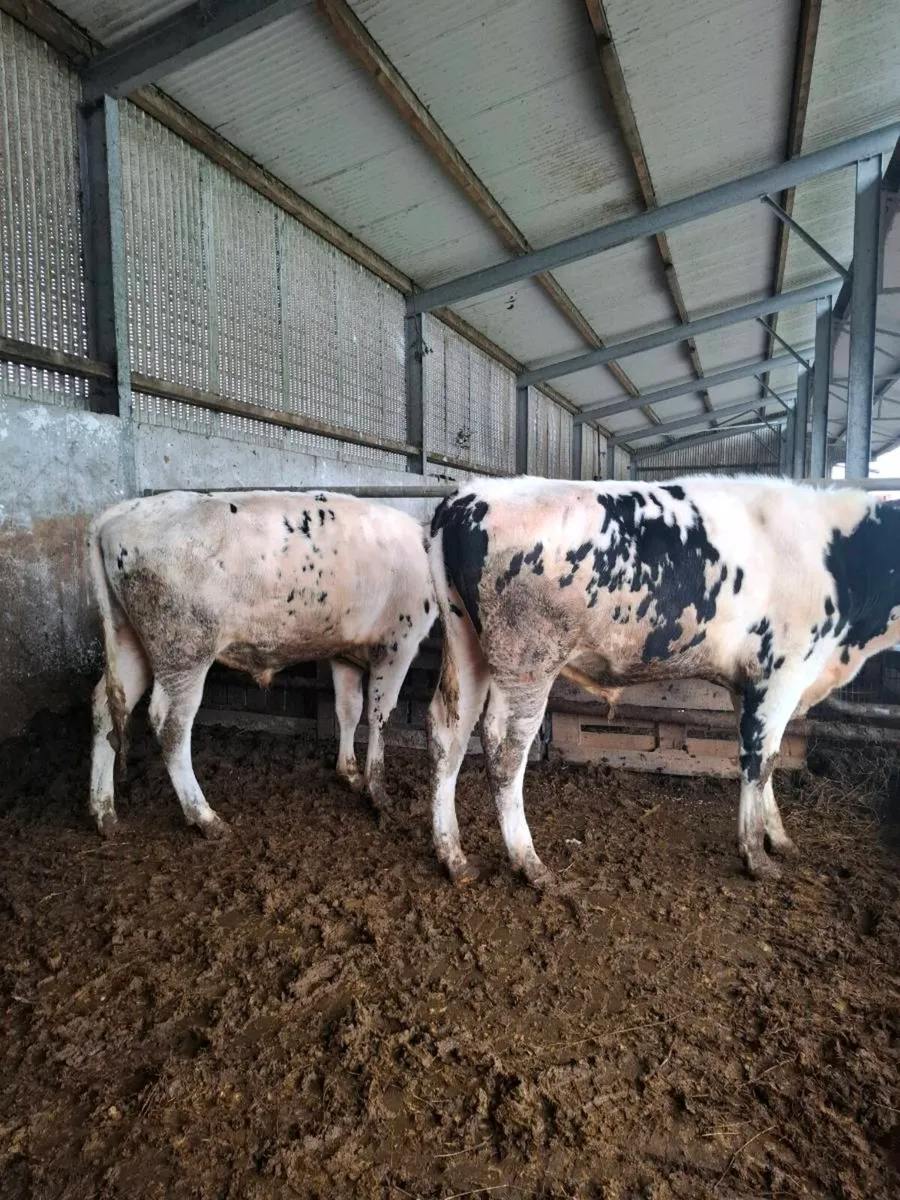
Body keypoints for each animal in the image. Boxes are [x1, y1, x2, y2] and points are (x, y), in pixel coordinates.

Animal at [88, 490, 435, 838]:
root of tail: (117, 514)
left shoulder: (344, 652)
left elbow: (348, 709)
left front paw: (349, 772)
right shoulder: (399, 644)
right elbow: (379, 715)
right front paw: (377, 791)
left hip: (130, 642)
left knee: (104, 707)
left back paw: (104, 812)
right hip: (184, 650)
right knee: (169, 724)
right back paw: (205, 816)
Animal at [425, 476, 900, 888]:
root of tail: (468, 496)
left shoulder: (747, 685)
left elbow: (763, 757)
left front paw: (778, 838)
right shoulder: (779, 674)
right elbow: (760, 761)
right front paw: (756, 856)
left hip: (465, 641)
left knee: (449, 730)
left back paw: (453, 856)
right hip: (527, 659)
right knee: (504, 748)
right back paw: (529, 862)